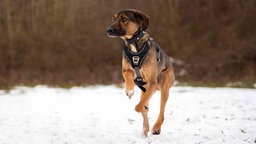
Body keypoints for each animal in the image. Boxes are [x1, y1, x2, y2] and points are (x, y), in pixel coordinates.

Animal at [106, 9, 176, 137]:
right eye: (113, 19)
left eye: (124, 19)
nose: (108, 30)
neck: (134, 44)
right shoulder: (126, 69)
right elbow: (128, 75)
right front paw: (129, 89)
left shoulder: (152, 82)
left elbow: (138, 107)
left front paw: (141, 107)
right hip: (146, 90)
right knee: (146, 106)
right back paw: (145, 130)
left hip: (164, 88)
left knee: (161, 111)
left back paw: (156, 127)